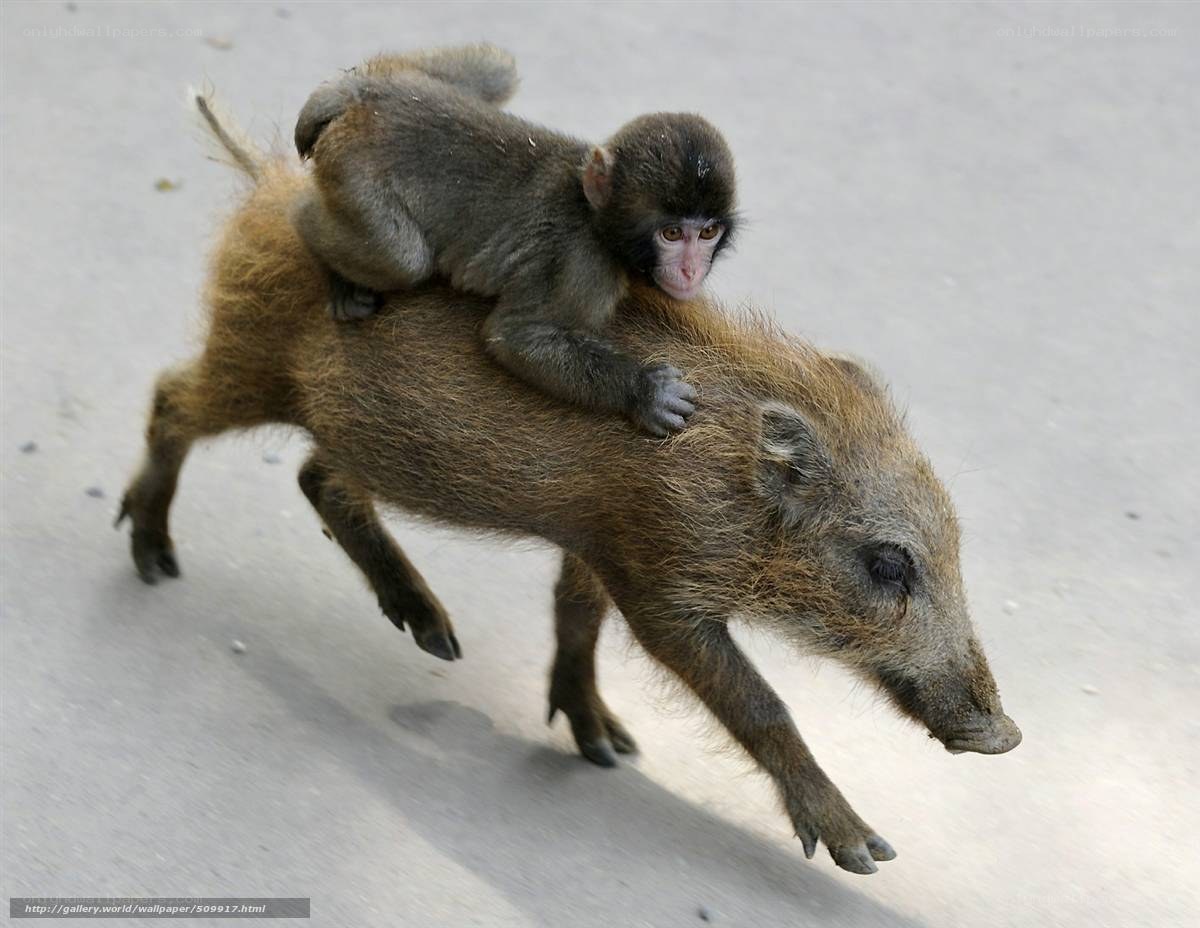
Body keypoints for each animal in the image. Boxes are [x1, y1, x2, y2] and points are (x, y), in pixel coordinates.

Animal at [117, 97, 1021, 876]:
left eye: (955, 547)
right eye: (887, 563)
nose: (1005, 736)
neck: (730, 485)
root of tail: (268, 181)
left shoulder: (597, 543)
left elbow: (575, 618)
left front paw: (606, 747)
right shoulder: (660, 587)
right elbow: (758, 705)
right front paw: (864, 850)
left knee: (316, 478)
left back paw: (435, 635)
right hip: (247, 362)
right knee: (171, 400)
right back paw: (154, 557)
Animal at [290, 44, 739, 436]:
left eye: (708, 232)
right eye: (672, 234)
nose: (690, 270)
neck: (592, 216)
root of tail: (362, 102)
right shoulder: (583, 266)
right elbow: (514, 336)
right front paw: (644, 390)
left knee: (498, 67)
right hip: (352, 170)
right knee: (401, 258)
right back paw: (311, 231)